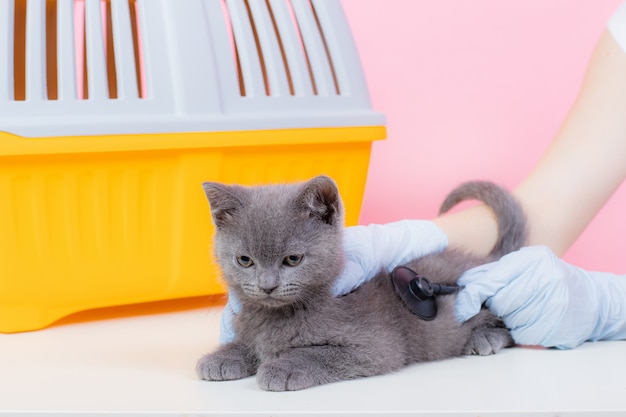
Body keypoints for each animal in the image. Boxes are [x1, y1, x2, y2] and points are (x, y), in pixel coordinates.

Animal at [196, 176, 528, 390]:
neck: (277, 315)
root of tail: (491, 259)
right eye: (244, 260)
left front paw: (282, 367)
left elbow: (316, 352)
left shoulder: (377, 344)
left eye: (293, 259)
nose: (267, 286)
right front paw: (221, 357)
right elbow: (246, 343)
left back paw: (484, 338)